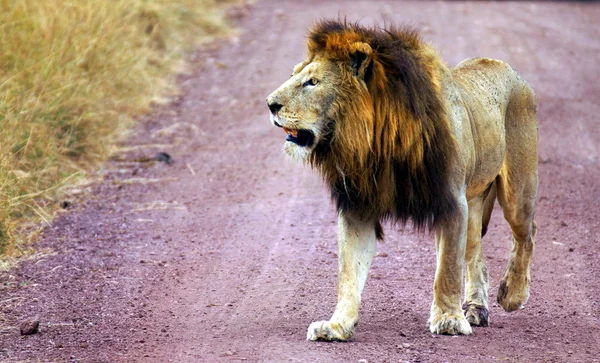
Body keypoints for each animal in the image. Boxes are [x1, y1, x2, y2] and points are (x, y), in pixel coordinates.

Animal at [268, 18, 540, 340]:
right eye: (294, 75)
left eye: (312, 82)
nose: (270, 104)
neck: (376, 141)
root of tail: (505, 66)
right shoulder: (358, 206)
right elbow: (348, 273)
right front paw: (336, 325)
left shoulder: (452, 202)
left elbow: (447, 270)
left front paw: (448, 319)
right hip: (474, 203)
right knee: (476, 255)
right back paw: (475, 308)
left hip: (516, 193)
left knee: (527, 233)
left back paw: (513, 294)